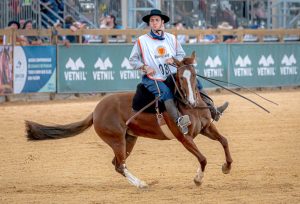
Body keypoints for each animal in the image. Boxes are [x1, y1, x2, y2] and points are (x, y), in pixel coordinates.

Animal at [25, 51, 232, 189]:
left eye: (195, 75)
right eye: (181, 77)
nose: (191, 99)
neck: (189, 107)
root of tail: (96, 111)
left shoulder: (206, 128)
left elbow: (224, 141)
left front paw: (227, 166)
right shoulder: (184, 138)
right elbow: (203, 158)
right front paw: (197, 179)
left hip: (129, 139)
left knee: (117, 164)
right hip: (117, 140)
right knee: (120, 165)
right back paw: (141, 184)